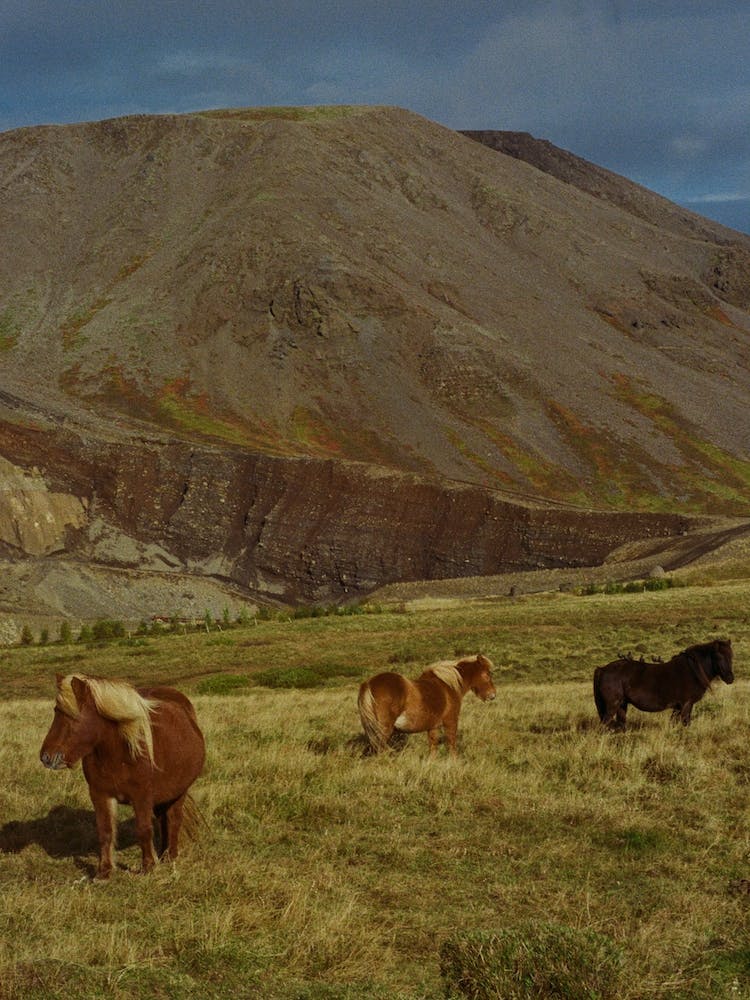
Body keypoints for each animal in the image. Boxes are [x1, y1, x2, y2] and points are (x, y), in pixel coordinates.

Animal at [40, 673, 205, 879]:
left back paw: (170, 856)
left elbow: (143, 829)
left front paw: (148, 867)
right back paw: (163, 853)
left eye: (72, 715)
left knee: (174, 820)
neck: (119, 754)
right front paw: (104, 872)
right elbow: (105, 831)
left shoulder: (142, 796)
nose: (46, 757)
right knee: (163, 820)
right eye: (56, 711)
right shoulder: (100, 795)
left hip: (179, 792)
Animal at [358, 654, 496, 755]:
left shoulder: (433, 727)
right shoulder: (450, 722)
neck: (448, 685)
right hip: (383, 730)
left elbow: (433, 748)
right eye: (486, 674)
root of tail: (368, 683)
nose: (493, 695)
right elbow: (451, 746)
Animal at [593, 638, 734, 732]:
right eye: (718, 656)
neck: (693, 670)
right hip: (612, 705)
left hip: (622, 705)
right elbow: (685, 722)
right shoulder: (686, 704)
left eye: (731, 656)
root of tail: (602, 669)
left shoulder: (679, 707)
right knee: (604, 725)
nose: (730, 679)